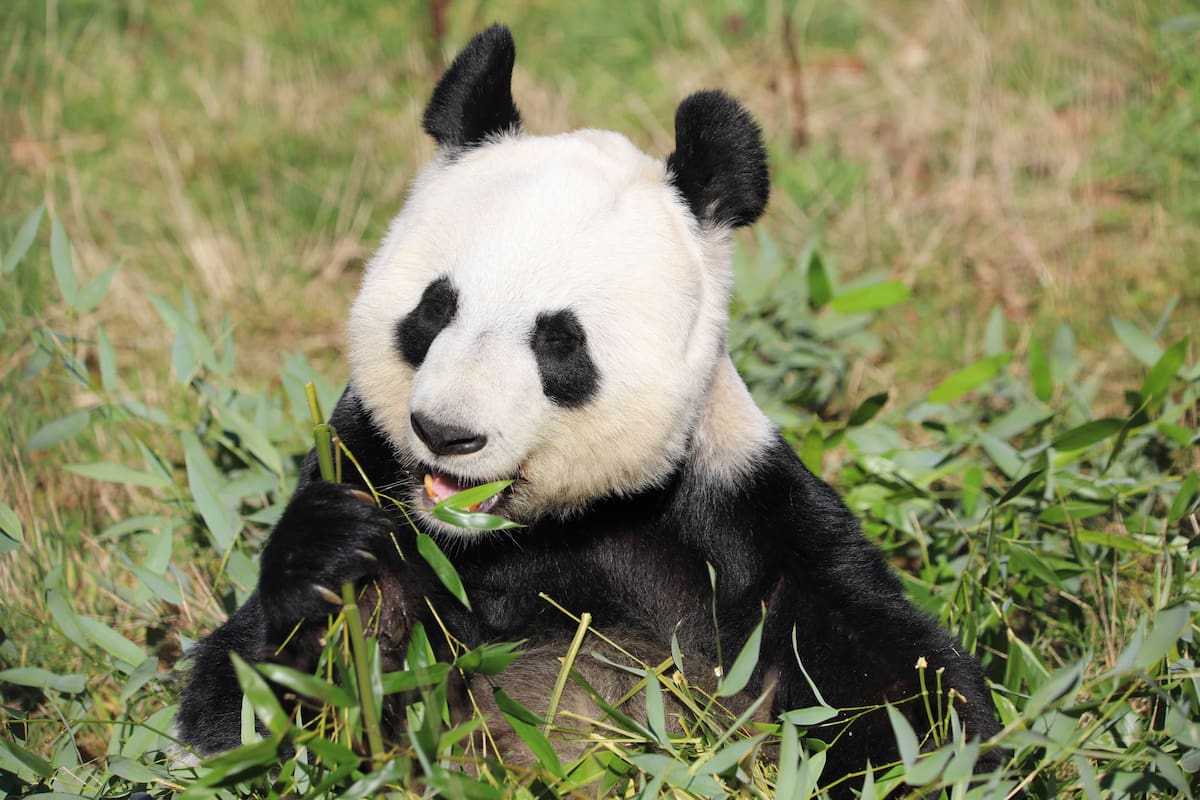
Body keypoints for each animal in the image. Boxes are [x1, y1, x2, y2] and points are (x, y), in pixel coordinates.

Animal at [177, 24, 1005, 791]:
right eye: (434, 309)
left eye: (559, 342)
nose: (447, 434)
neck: (517, 536)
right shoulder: (371, 467)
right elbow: (260, 713)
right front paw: (329, 558)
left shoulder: (737, 513)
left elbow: (890, 679)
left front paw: (950, 757)